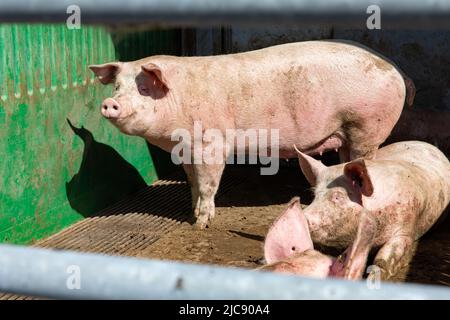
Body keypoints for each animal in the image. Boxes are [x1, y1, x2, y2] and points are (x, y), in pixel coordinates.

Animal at [90, 41, 414, 229]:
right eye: (117, 87)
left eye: (144, 88)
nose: (110, 103)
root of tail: (398, 71)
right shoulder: (187, 150)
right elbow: (193, 182)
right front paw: (191, 213)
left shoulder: (211, 143)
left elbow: (208, 184)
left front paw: (201, 224)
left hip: (367, 126)